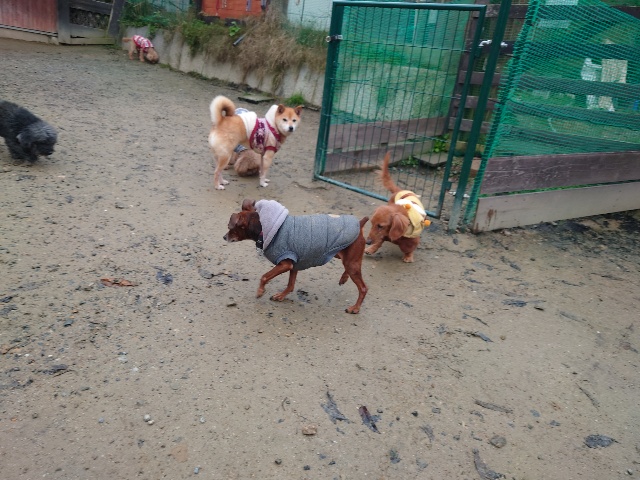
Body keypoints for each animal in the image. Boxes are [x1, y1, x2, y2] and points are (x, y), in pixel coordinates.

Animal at [223, 199, 369, 314]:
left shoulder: (285, 264)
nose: (224, 237)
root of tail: (360, 223)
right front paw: (281, 296)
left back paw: (355, 308)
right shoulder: (294, 264)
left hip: (351, 262)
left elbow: (264, 276)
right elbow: (291, 285)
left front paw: (260, 291)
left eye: (231, 228)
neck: (264, 229)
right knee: (349, 269)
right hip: (342, 256)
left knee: (363, 288)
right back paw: (344, 278)